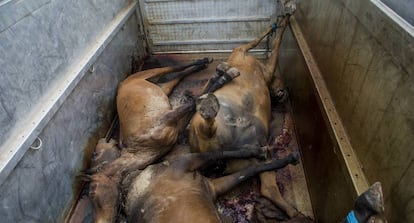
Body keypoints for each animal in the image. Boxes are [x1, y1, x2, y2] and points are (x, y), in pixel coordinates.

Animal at [189, 16, 300, 218]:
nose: (284, 93)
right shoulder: (253, 58)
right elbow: (270, 42)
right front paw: (282, 20)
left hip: (247, 156)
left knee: (267, 186)